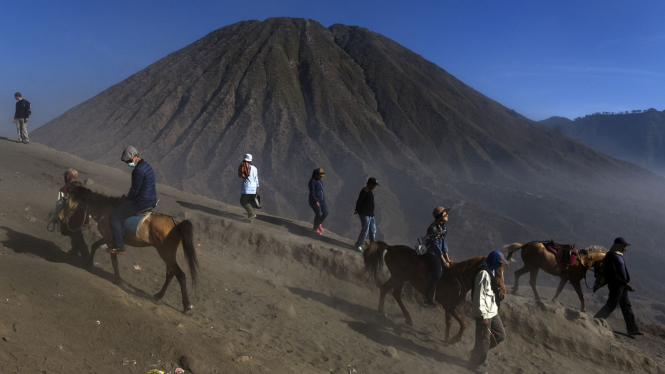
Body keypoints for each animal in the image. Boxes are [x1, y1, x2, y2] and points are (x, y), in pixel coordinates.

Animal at [60, 186, 197, 312]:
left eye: (65, 200)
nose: (60, 218)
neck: (105, 211)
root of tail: (177, 224)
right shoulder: (108, 238)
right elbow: (94, 246)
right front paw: (88, 265)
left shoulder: (110, 241)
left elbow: (114, 261)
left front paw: (117, 279)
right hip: (168, 254)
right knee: (170, 274)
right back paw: (158, 296)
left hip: (166, 253)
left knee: (180, 275)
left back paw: (186, 306)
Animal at [364, 241, 504, 344]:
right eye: (497, 273)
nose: (502, 295)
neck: (459, 277)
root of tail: (390, 248)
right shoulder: (449, 305)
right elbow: (463, 323)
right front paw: (455, 339)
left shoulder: (449, 306)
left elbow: (449, 322)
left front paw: (447, 339)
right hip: (398, 277)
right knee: (392, 292)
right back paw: (397, 316)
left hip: (398, 277)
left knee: (388, 290)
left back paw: (388, 313)